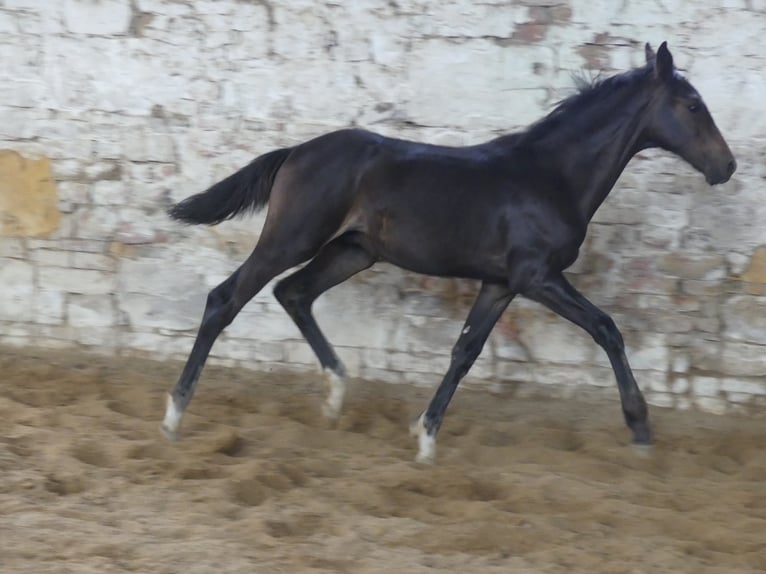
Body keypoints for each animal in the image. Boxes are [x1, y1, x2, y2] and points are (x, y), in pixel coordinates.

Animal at [162, 42, 736, 466]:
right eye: (692, 105)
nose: (726, 166)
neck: (551, 176)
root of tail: (295, 152)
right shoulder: (537, 276)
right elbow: (607, 328)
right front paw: (640, 429)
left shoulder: (501, 283)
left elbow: (465, 351)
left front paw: (425, 436)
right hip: (292, 238)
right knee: (226, 299)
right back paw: (174, 414)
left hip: (353, 252)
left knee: (294, 293)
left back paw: (336, 394)